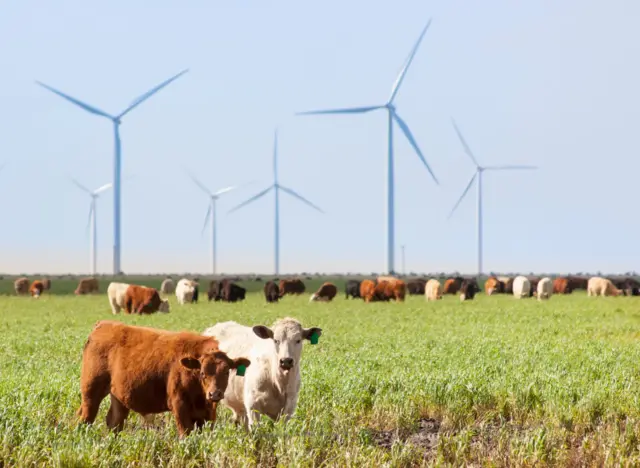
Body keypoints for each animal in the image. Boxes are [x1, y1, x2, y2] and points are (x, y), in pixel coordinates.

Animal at [76, 320, 251, 436]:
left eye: (227, 372)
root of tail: (104, 324)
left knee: (114, 422)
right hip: (91, 392)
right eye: (202, 373)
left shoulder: (207, 414)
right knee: (85, 419)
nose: (214, 394)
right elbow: (185, 435)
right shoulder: (180, 407)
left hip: (119, 396)